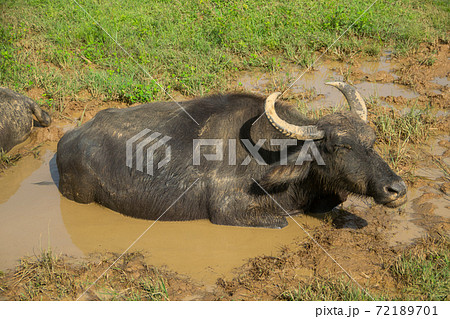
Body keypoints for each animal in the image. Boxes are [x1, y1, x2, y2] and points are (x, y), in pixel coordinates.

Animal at [57, 82, 408, 228]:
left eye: (371, 140)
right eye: (339, 146)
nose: (397, 189)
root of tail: (67, 140)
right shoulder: (229, 212)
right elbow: (283, 221)